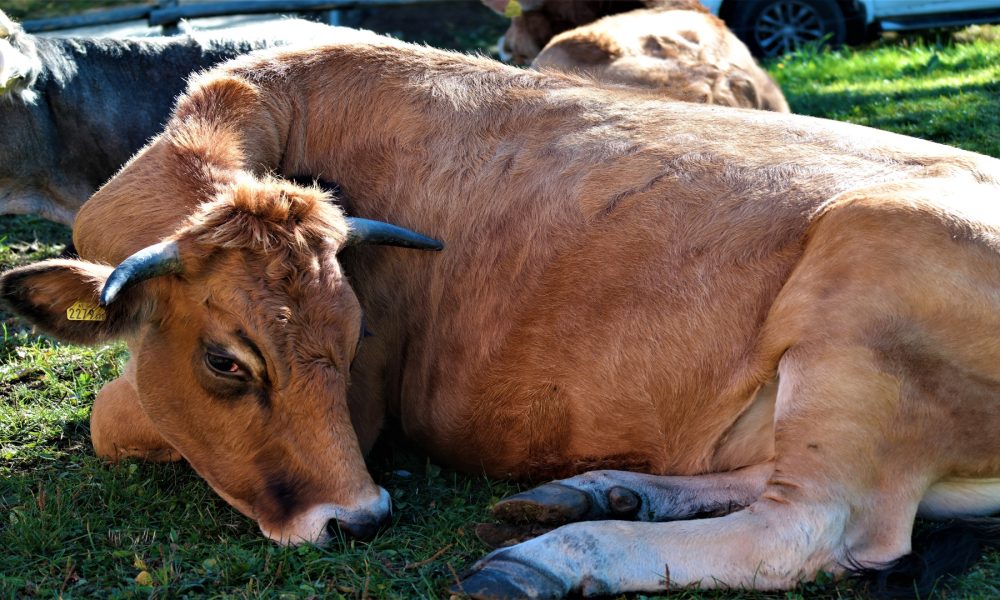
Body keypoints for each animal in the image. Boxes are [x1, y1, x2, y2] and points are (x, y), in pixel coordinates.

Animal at [2, 31, 1000, 599]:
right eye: (224, 362)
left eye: (355, 339)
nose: (360, 519)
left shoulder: (362, 412)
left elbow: (111, 414)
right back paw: (600, 492)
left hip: (864, 287)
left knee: (815, 529)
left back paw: (555, 556)